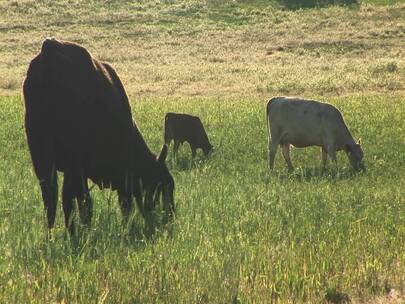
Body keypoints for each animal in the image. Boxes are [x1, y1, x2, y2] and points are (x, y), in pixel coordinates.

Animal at [22, 38, 174, 233]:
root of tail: (50, 48)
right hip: (72, 162)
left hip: (41, 155)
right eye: (163, 186)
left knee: (51, 198)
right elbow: (122, 203)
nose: (170, 217)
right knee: (69, 199)